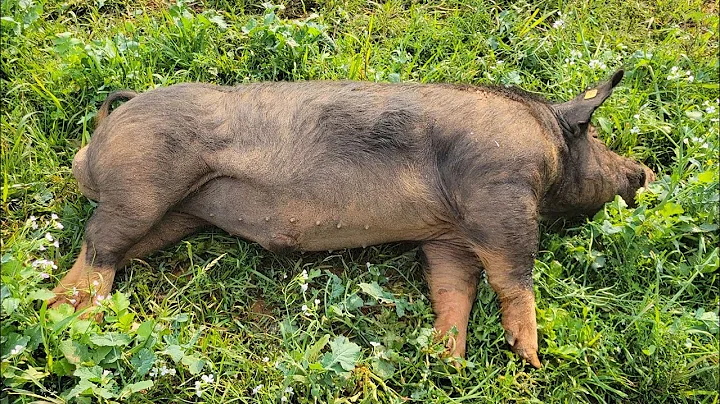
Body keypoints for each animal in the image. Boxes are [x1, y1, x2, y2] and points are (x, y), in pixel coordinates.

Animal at [49, 69, 653, 368]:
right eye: (594, 136)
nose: (642, 171)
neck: (547, 141)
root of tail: (97, 141)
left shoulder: (450, 237)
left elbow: (454, 289)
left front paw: (447, 359)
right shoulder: (498, 193)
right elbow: (514, 274)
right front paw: (529, 358)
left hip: (175, 214)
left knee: (109, 251)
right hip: (143, 182)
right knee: (97, 247)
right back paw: (69, 316)